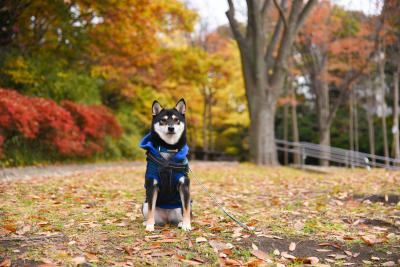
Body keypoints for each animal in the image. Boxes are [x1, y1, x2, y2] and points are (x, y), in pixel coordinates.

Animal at [139, 98, 192, 232]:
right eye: (163, 120)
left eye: (176, 119)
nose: (171, 128)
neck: (168, 148)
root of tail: (168, 219)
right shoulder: (152, 184)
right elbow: (152, 208)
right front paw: (149, 225)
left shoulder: (184, 184)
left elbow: (186, 209)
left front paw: (187, 224)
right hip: (144, 204)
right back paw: (148, 222)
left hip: (180, 207)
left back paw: (181, 223)